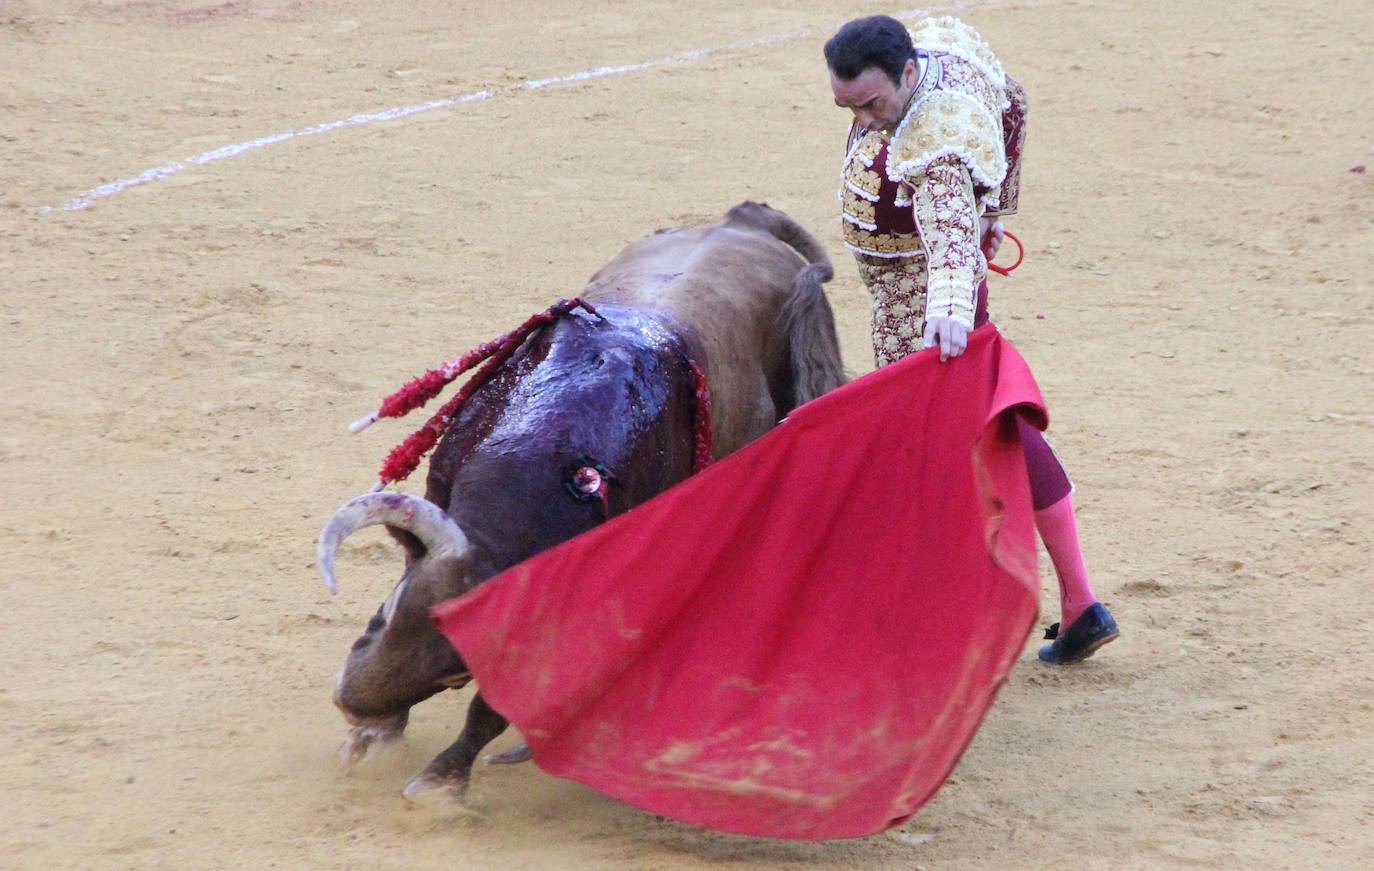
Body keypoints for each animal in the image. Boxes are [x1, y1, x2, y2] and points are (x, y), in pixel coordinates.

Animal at [316, 200, 840, 802]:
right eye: (389, 610)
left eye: (455, 673)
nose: (352, 706)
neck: (551, 449)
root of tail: (746, 221)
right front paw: (377, 737)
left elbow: (492, 709)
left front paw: (441, 782)